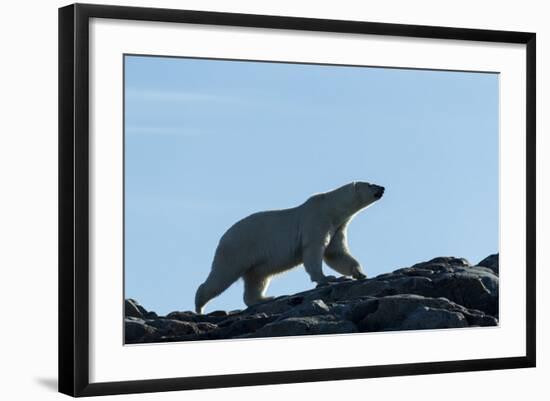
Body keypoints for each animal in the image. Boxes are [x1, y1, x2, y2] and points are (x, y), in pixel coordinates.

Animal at [196, 180, 386, 312]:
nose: (382, 188)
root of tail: (222, 238)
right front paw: (328, 278)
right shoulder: (316, 220)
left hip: (255, 261)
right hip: (238, 248)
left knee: (257, 279)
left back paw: (264, 298)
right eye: (370, 184)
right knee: (222, 275)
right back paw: (199, 305)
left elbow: (336, 253)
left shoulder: (337, 226)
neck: (331, 208)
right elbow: (314, 251)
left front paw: (359, 273)